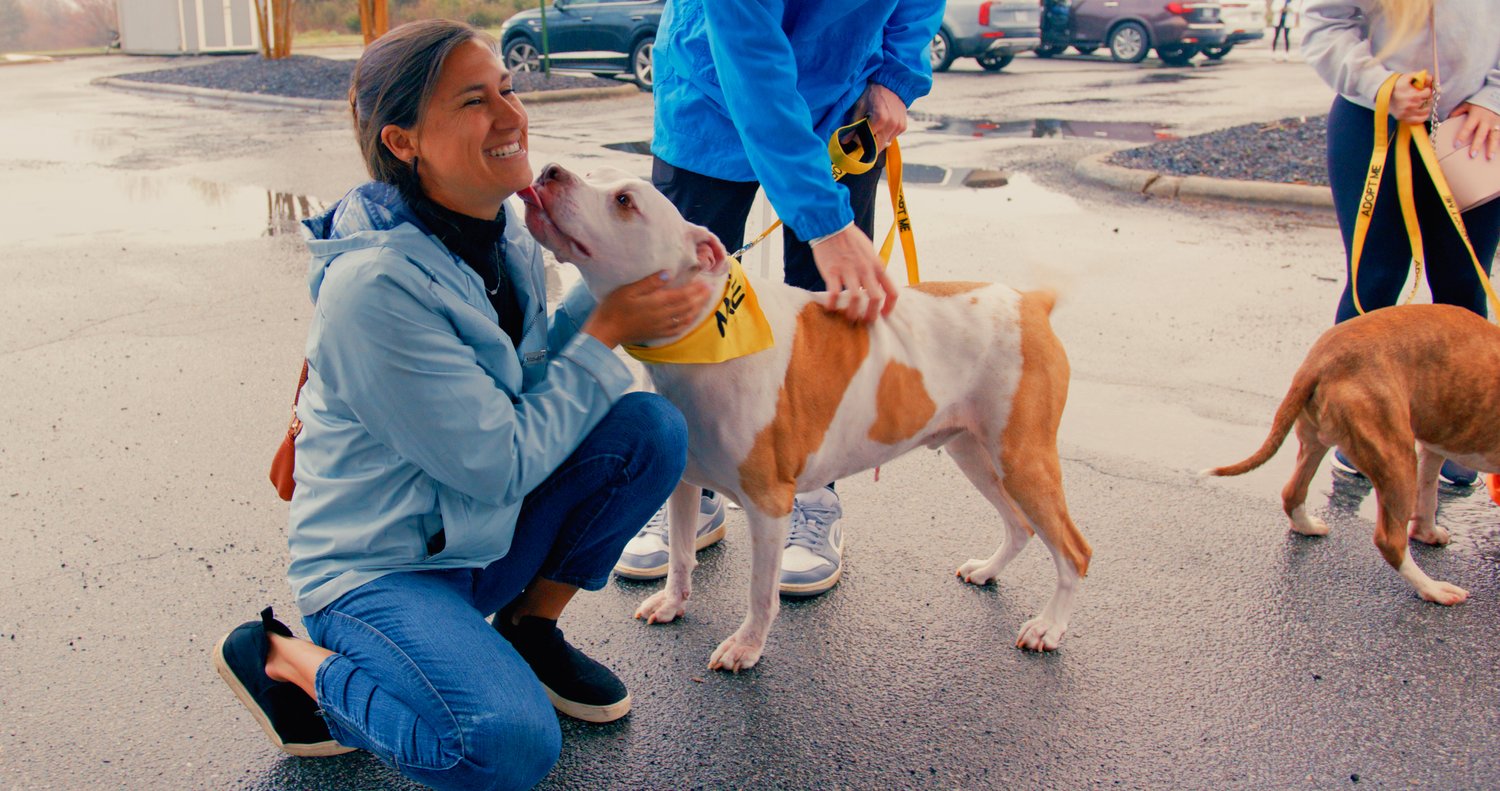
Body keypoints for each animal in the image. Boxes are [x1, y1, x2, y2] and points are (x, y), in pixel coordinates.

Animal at [525, 164, 1092, 672]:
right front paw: (673, 602)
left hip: (1023, 459)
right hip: (974, 451)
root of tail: (1030, 302)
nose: (549, 170)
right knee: (1020, 525)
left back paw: (1049, 626)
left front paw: (746, 647)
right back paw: (989, 570)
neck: (704, 335)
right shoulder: (685, 482)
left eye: (624, 201)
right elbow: (683, 554)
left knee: (1073, 550)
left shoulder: (769, 503)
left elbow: (760, 591)